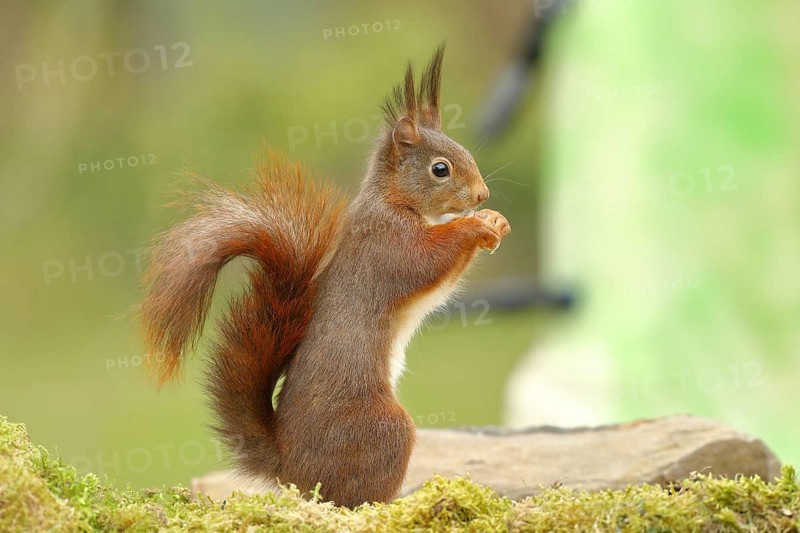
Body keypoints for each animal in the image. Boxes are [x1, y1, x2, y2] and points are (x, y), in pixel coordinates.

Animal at [140, 45, 510, 508]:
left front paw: (495, 220)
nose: (482, 194)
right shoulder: (387, 245)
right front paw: (474, 226)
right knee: (349, 499)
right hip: (381, 429)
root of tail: (289, 466)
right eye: (439, 169)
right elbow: (427, 262)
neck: (395, 200)